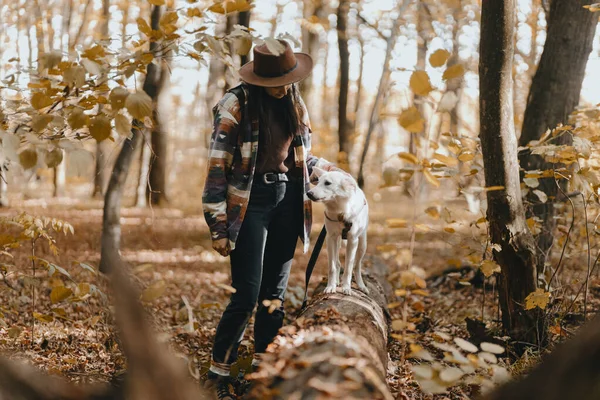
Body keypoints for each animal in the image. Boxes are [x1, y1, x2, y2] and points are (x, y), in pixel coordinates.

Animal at [308, 167, 368, 296]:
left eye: (327, 183)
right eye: (318, 181)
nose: (308, 193)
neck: (340, 212)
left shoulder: (352, 241)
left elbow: (348, 268)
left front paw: (346, 288)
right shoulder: (330, 238)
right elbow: (332, 267)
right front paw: (331, 286)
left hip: (362, 245)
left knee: (357, 266)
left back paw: (361, 286)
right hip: (336, 242)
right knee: (337, 262)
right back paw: (335, 281)